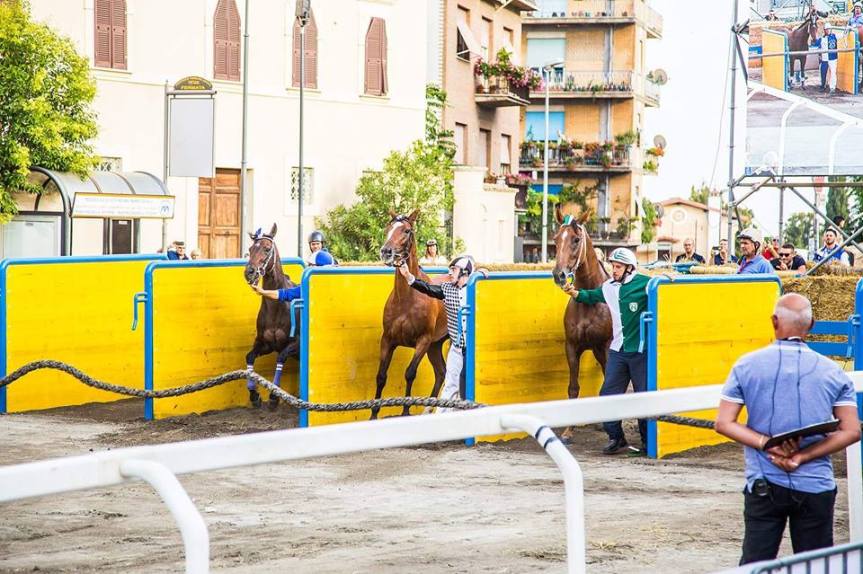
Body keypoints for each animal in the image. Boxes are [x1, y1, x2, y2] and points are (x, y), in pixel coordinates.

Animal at [243, 223, 301, 409]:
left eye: (267, 249)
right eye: (250, 249)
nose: (249, 272)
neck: (277, 308)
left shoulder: (295, 344)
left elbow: (281, 357)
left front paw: (274, 395)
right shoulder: (265, 344)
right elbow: (249, 357)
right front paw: (254, 395)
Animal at [374, 209, 448, 419]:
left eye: (406, 230)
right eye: (388, 228)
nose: (386, 251)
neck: (407, 299)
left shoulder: (423, 340)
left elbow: (410, 373)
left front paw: (406, 410)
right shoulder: (388, 340)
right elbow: (381, 376)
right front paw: (373, 414)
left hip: (433, 344)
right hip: (435, 345)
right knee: (441, 372)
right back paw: (428, 408)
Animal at [551, 207, 613, 442]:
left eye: (576, 239)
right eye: (556, 239)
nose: (558, 275)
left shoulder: (607, 346)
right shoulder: (572, 346)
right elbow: (573, 388)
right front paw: (568, 431)